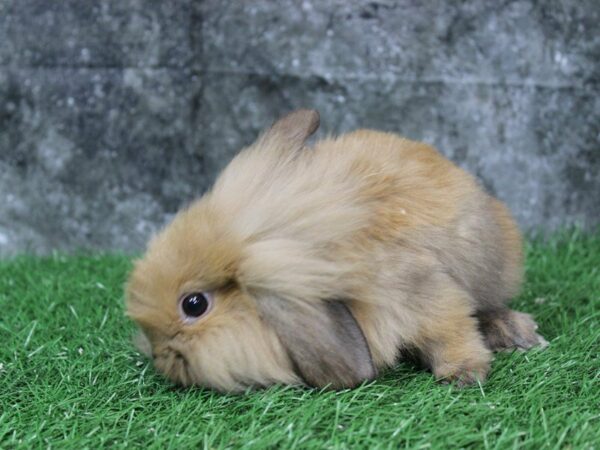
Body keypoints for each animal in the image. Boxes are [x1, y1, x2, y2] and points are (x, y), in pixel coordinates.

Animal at [126, 108, 548, 390]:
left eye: (194, 304)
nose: (159, 355)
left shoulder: (423, 292)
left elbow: (449, 331)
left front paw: (464, 376)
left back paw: (518, 334)